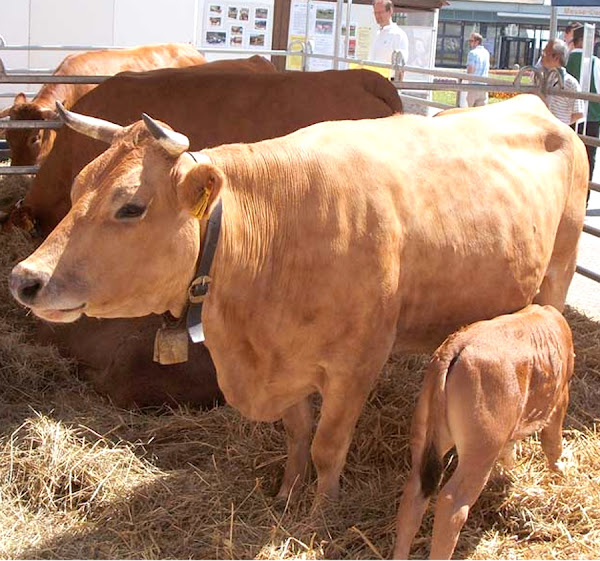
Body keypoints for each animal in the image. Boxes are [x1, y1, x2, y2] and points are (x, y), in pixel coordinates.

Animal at [9, 94, 588, 500]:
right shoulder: (284, 364)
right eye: (78, 186)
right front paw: (287, 496)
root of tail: (536, 106)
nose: (23, 278)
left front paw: (318, 514)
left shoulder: (357, 364)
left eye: (130, 206)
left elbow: (329, 446)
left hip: (558, 275)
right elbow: (297, 436)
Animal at [394, 304, 576, 556]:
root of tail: (455, 347)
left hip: (425, 434)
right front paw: (560, 473)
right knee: (451, 504)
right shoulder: (560, 399)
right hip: (480, 450)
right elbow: (553, 444)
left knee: (414, 493)